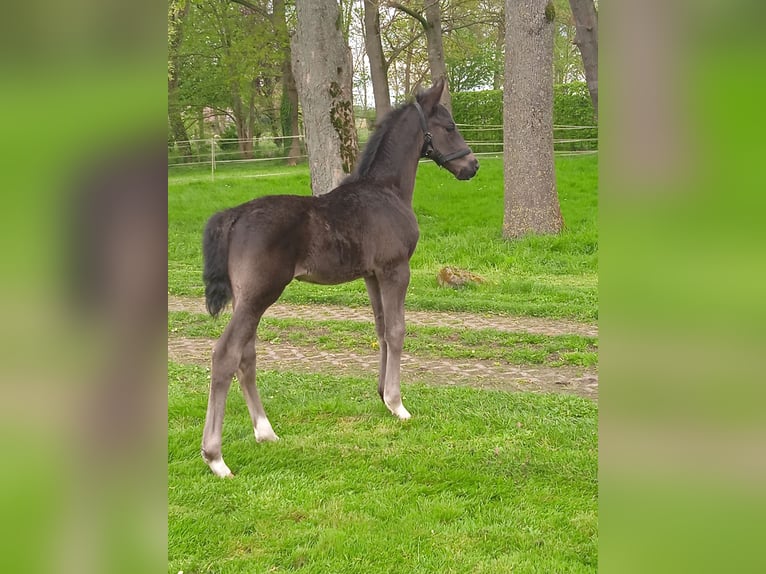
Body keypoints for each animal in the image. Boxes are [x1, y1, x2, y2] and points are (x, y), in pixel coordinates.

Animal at [204, 80, 480, 476]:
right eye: (449, 126)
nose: (472, 165)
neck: (386, 190)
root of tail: (234, 216)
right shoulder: (396, 269)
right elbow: (397, 331)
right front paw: (397, 404)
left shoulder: (372, 275)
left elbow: (381, 330)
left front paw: (382, 395)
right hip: (259, 295)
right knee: (225, 355)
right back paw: (216, 457)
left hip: (248, 299)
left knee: (246, 355)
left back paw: (265, 431)